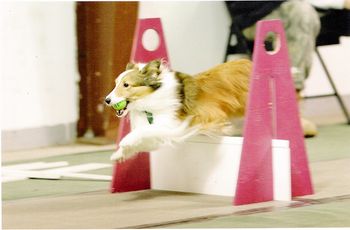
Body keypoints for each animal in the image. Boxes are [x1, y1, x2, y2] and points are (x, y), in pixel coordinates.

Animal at [104, 59, 252, 162]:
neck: (150, 97)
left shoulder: (175, 125)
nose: (107, 100)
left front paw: (126, 141)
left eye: (126, 85)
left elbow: (145, 130)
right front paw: (118, 155)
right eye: (116, 84)